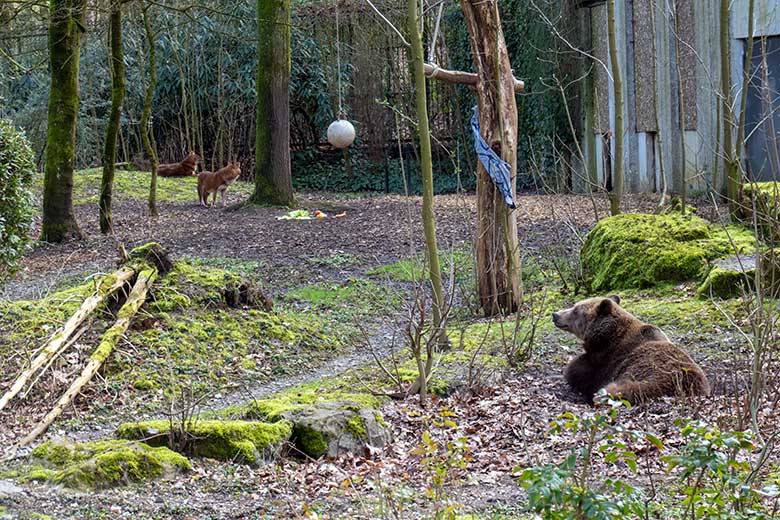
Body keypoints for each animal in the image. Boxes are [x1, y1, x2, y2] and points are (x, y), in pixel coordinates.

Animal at [552, 294, 708, 404]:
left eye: (575, 310)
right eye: (574, 306)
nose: (555, 314)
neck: (607, 336)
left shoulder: (606, 359)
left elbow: (578, 371)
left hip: (645, 367)